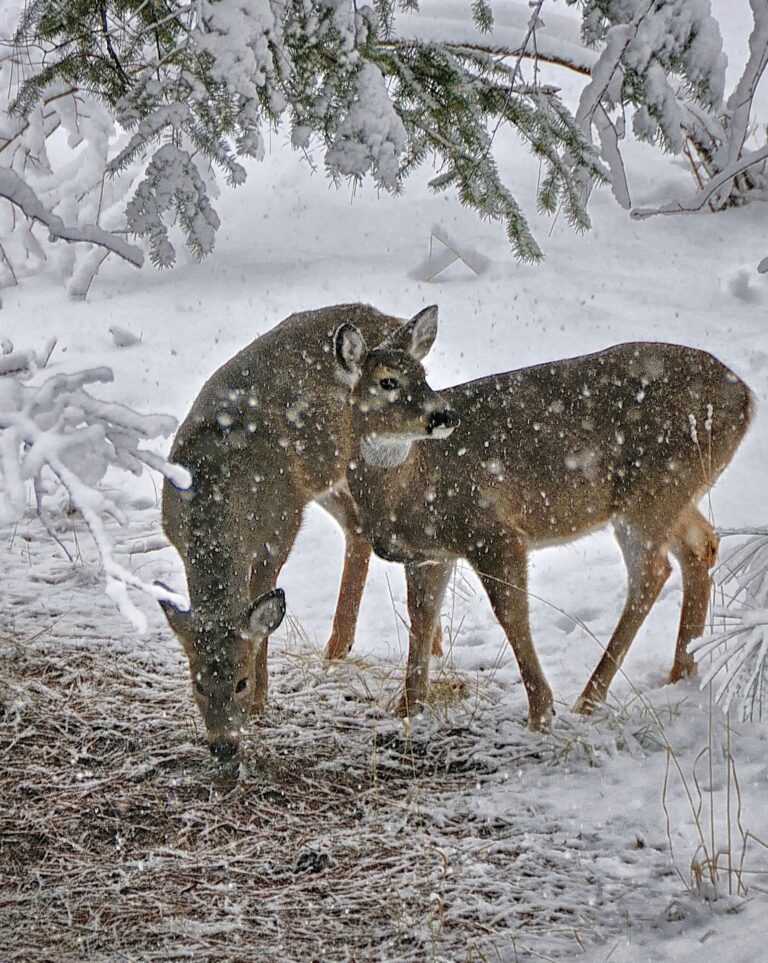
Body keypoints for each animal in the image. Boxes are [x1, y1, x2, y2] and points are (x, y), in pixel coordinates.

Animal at [159, 306, 440, 756]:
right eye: (198, 685)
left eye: (240, 682)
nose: (223, 745)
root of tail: (390, 320)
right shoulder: (175, 534)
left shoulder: (280, 527)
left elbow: (262, 610)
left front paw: (260, 702)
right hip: (328, 476)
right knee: (357, 528)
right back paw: (345, 646)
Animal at [332, 308, 752, 732]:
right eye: (388, 381)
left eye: (423, 374)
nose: (445, 415)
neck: (408, 485)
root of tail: (747, 398)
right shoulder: (429, 554)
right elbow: (420, 618)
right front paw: (405, 708)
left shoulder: (493, 531)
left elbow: (511, 614)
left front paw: (541, 711)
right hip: (674, 493)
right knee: (702, 544)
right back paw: (682, 673)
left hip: (653, 492)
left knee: (652, 572)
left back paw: (589, 698)